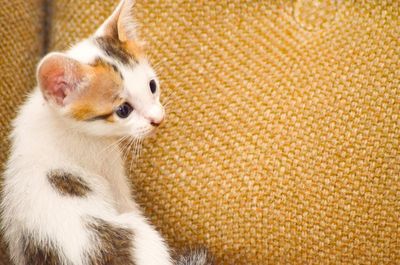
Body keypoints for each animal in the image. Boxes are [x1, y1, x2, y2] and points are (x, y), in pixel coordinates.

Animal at [1, 0, 214, 264]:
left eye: (152, 86)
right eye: (123, 110)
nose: (158, 119)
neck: (58, 121)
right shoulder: (108, 166)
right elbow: (126, 200)